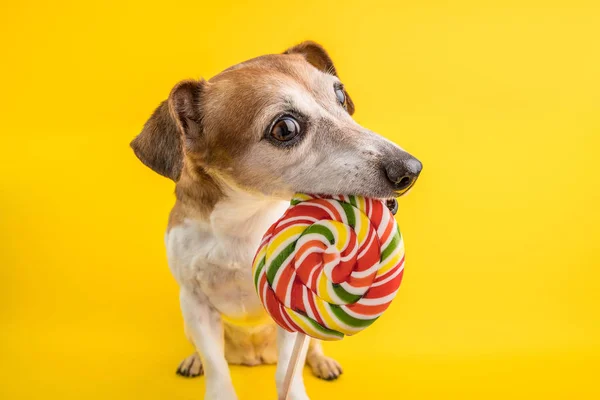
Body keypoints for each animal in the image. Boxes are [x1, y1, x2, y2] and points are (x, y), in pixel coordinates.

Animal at [131, 41, 422, 400]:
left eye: (340, 96)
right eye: (285, 128)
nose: (410, 170)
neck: (244, 220)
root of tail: (255, 355)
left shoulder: (295, 311)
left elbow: (288, 371)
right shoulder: (195, 303)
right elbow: (216, 366)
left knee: (310, 348)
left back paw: (322, 362)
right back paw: (194, 359)